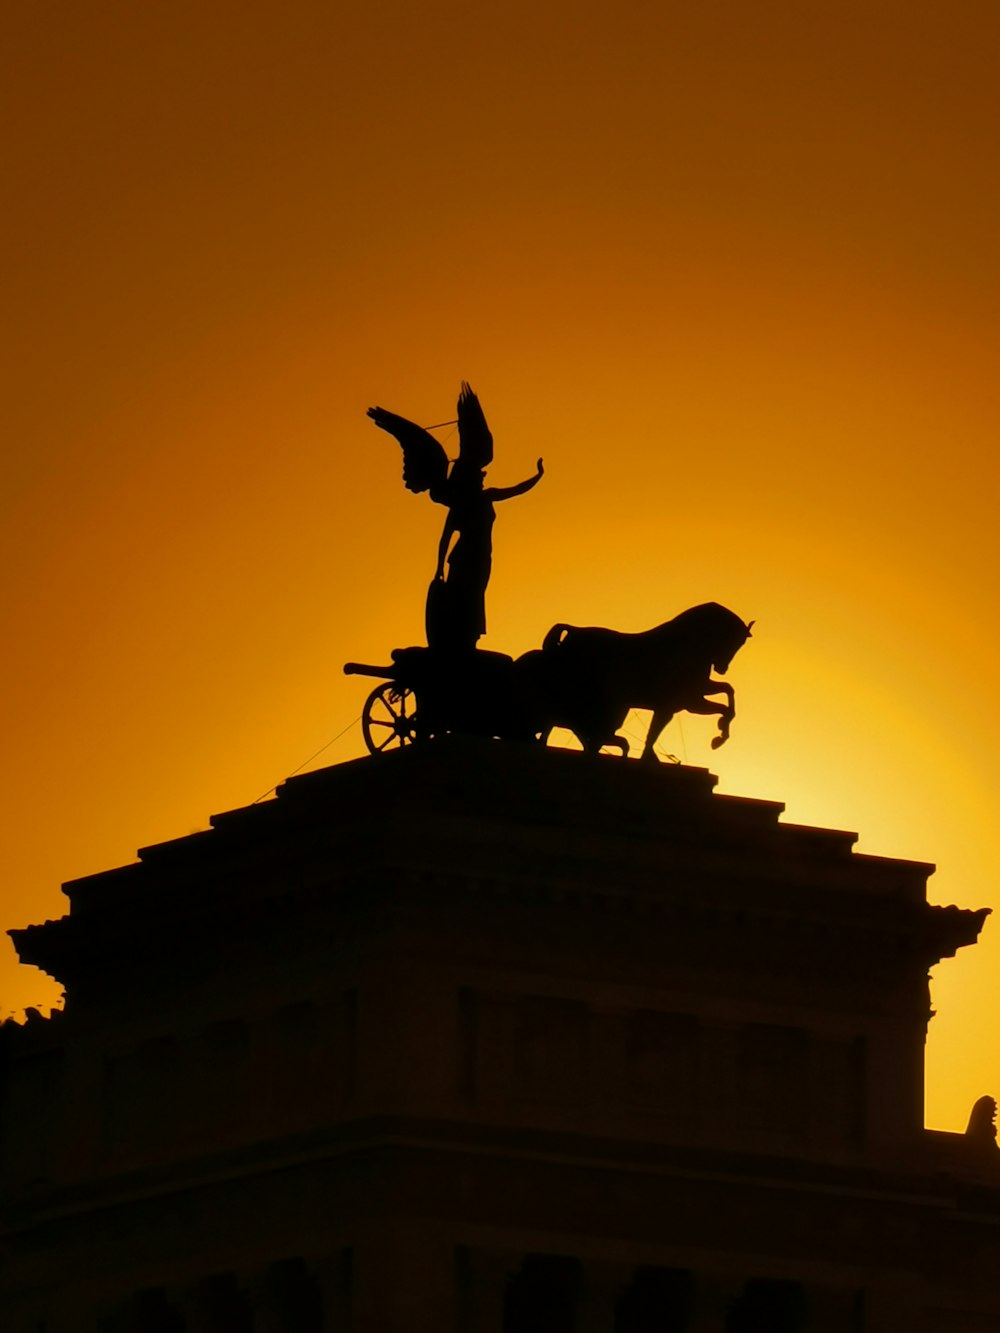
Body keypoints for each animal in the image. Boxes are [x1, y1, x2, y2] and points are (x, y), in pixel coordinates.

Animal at [520, 605, 757, 762]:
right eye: (734, 641)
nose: (722, 667)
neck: (686, 647)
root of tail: (574, 632)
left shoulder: (692, 698)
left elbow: (728, 693)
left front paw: (720, 735)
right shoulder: (682, 704)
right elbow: (655, 731)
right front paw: (719, 735)